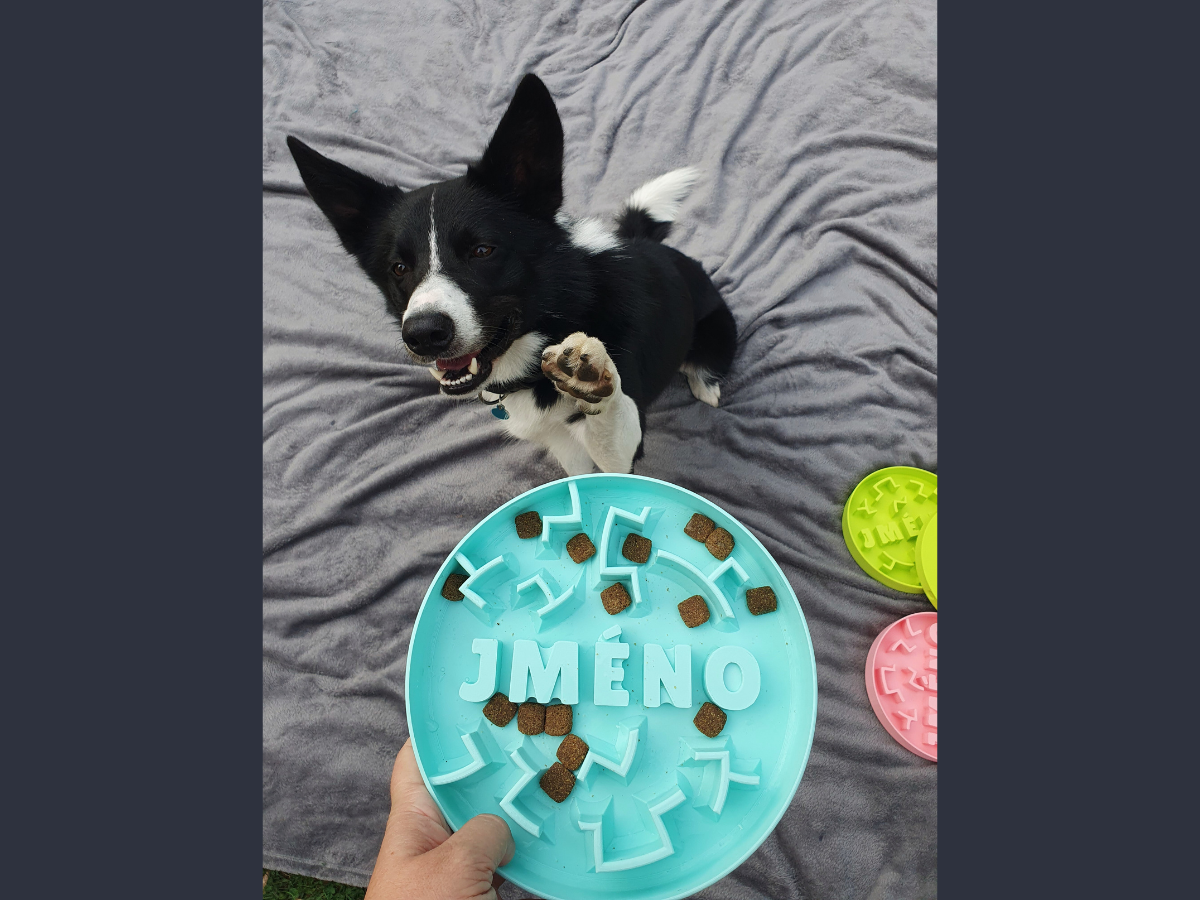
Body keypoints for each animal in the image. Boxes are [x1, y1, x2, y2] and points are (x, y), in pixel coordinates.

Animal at [289, 74, 734, 475]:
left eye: (482, 250)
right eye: (399, 267)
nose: (424, 335)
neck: (560, 317)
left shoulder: (623, 449)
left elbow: (613, 416)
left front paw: (591, 373)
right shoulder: (561, 443)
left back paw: (705, 382)